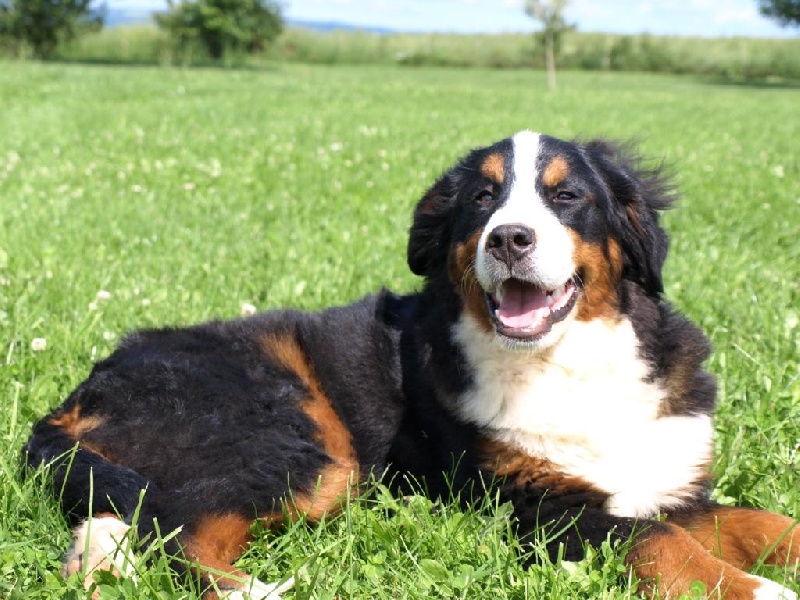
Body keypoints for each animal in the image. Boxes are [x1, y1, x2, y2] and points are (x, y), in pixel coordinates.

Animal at [25, 131, 800, 600]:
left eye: (567, 195)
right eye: (482, 198)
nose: (509, 238)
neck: (566, 362)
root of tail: (86, 391)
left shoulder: (666, 484)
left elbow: (761, 521)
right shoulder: (537, 507)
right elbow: (655, 542)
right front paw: (759, 590)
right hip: (290, 440)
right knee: (179, 532)